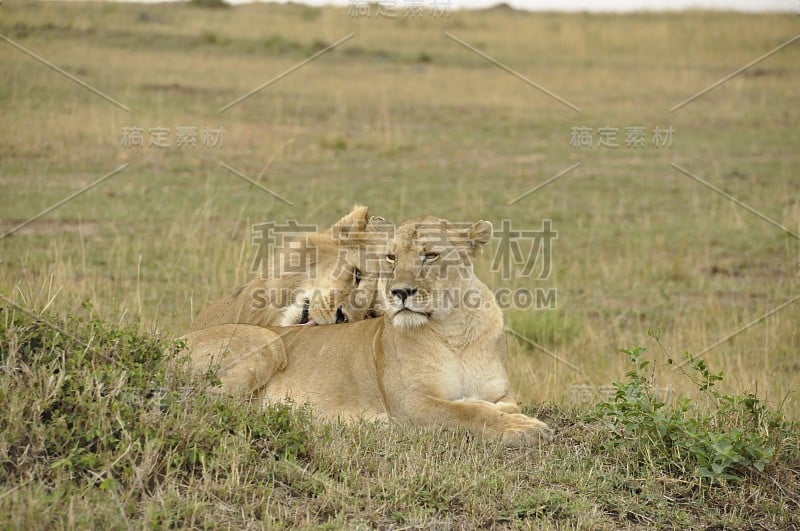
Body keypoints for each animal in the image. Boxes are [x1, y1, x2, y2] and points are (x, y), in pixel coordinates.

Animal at [185, 214, 552, 446]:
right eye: (391, 257)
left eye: (430, 255)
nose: (399, 292)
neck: (453, 330)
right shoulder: (412, 404)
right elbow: (469, 412)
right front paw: (524, 428)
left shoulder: (501, 393)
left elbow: (489, 406)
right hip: (268, 341)